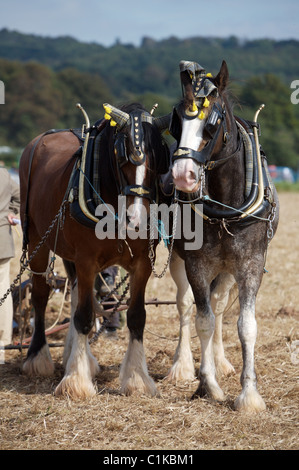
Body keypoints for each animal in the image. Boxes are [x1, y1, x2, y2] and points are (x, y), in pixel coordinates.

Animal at [18, 101, 170, 398]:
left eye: (157, 159)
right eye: (121, 157)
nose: (137, 221)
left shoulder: (142, 264)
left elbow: (136, 317)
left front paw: (136, 378)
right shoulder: (87, 260)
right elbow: (85, 316)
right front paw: (76, 382)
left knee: (76, 292)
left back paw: (77, 356)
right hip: (36, 240)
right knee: (41, 295)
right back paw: (38, 357)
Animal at [168, 59, 280, 412]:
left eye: (212, 122)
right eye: (176, 122)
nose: (183, 176)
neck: (224, 206)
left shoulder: (250, 266)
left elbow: (245, 326)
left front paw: (249, 395)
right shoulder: (196, 265)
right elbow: (201, 320)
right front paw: (208, 385)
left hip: (228, 270)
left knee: (218, 307)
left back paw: (220, 361)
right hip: (179, 262)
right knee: (185, 305)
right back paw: (182, 366)